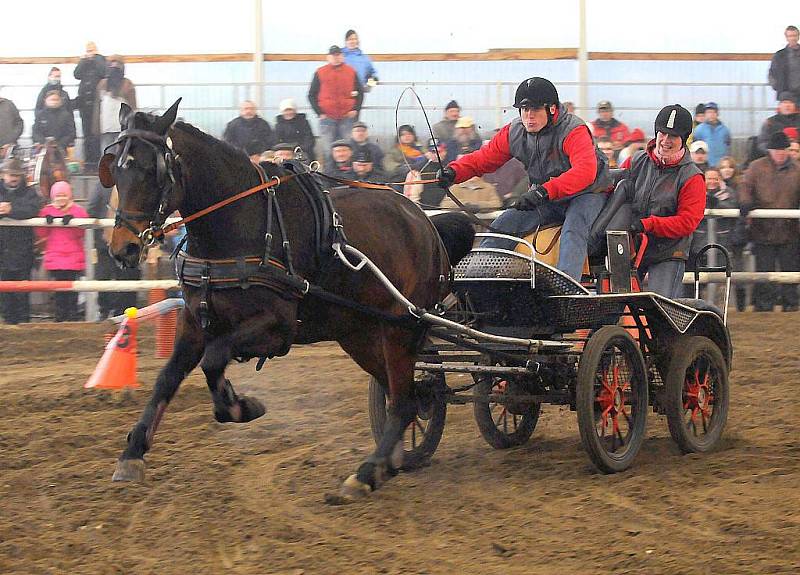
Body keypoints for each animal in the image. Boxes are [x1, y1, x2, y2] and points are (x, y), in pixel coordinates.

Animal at [101, 102, 476, 500]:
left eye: (150, 169)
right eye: (115, 168)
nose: (123, 248)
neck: (239, 223)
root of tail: (426, 224)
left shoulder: (276, 327)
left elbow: (214, 358)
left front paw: (240, 406)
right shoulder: (195, 321)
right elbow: (167, 378)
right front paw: (132, 454)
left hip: (400, 328)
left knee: (403, 401)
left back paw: (366, 472)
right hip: (359, 333)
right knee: (406, 393)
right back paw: (391, 461)